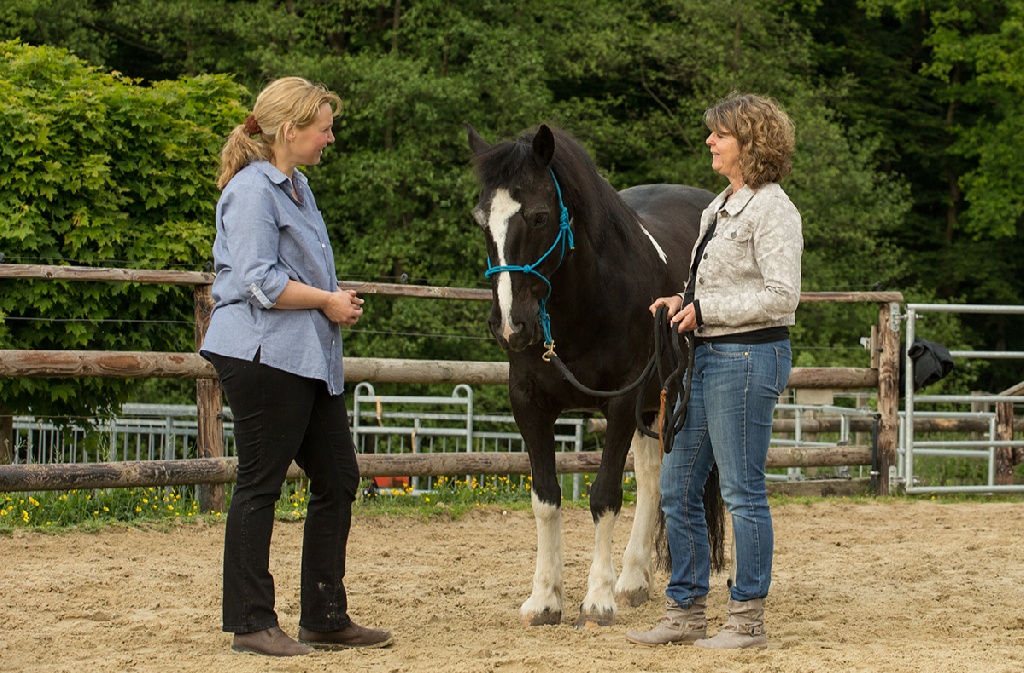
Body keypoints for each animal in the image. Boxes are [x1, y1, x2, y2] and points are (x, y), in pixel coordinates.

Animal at [468, 121, 724, 622]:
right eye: (480, 219)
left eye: (540, 216)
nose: (511, 324)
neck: (585, 305)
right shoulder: (529, 405)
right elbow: (546, 498)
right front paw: (545, 598)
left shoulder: (621, 404)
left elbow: (604, 496)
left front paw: (598, 598)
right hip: (652, 407)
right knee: (651, 479)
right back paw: (634, 579)